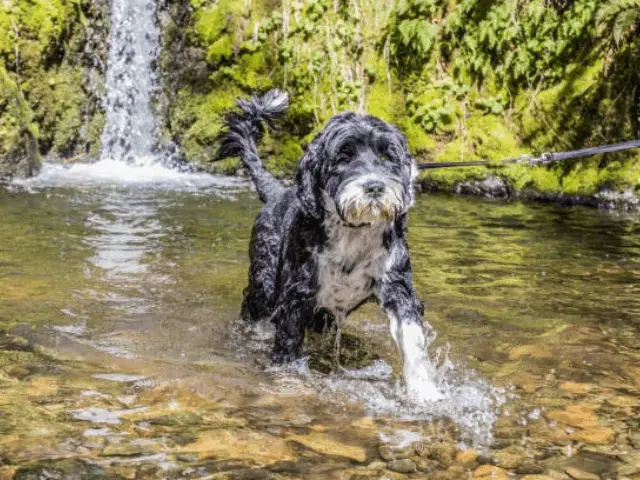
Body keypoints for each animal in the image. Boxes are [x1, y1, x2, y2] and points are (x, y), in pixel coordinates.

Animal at [218, 89, 442, 402]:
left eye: (387, 156)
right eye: (344, 157)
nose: (375, 187)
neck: (353, 233)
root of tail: (276, 192)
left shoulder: (397, 286)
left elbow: (413, 339)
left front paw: (425, 391)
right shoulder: (297, 296)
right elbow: (288, 344)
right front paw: (288, 382)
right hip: (264, 285)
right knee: (253, 308)